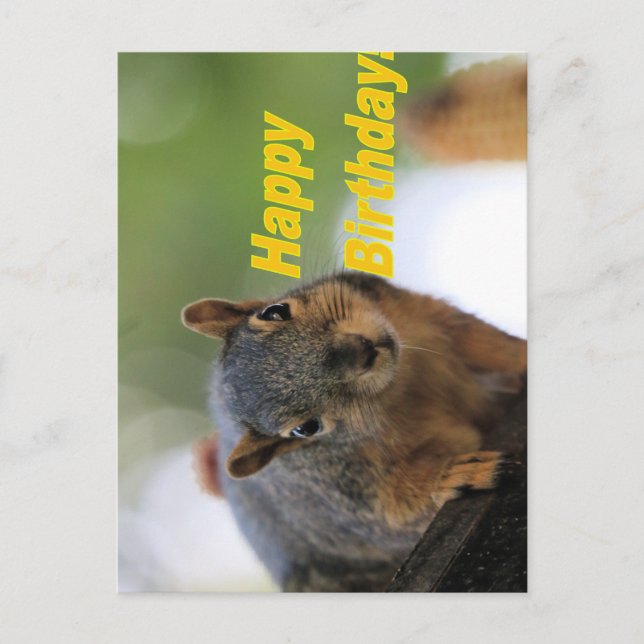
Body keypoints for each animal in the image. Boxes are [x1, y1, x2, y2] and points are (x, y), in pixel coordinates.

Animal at [182, 272, 527, 592]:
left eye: (275, 312)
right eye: (305, 428)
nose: (360, 351)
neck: (398, 388)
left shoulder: (422, 312)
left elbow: (488, 343)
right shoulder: (349, 496)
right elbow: (398, 510)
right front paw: (458, 474)